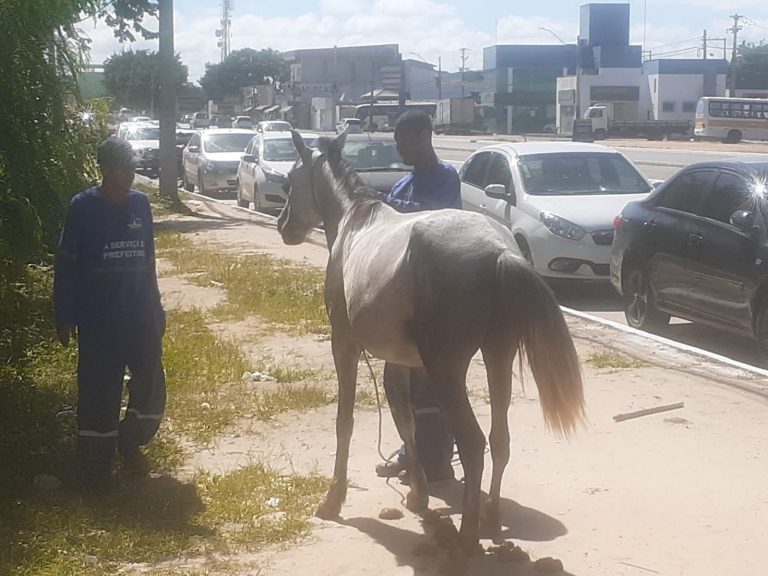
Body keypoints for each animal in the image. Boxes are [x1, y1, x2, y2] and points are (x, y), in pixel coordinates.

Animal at [280, 130, 584, 552]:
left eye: (289, 181)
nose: (283, 225)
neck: (355, 222)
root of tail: (499, 250)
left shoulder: (344, 345)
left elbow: (346, 421)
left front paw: (333, 498)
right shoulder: (400, 362)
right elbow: (405, 420)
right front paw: (418, 495)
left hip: (447, 372)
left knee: (473, 444)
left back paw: (468, 535)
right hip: (498, 356)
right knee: (499, 439)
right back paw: (490, 519)